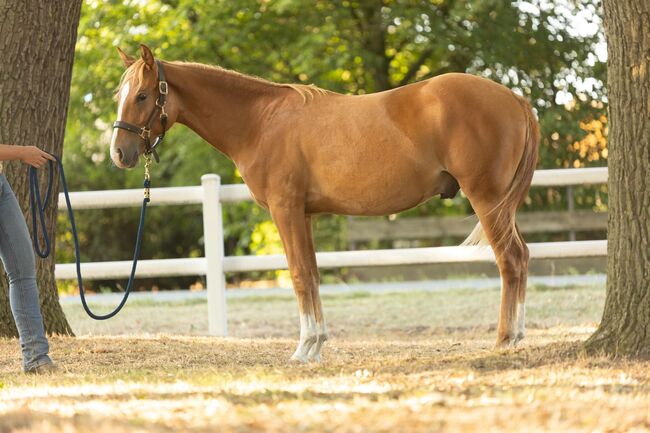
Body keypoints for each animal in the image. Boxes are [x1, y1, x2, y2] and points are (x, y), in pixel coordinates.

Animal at [110, 44, 536, 362]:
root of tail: (514, 98)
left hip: (487, 199)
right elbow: (312, 275)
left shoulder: (285, 210)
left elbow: (299, 275)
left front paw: (303, 349)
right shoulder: (306, 215)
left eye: (143, 96)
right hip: (500, 205)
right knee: (522, 257)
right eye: (121, 96)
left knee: (510, 259)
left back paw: (505, 339)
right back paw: (515, 336)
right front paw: (316, 345)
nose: (119, 154)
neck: (261, 121)